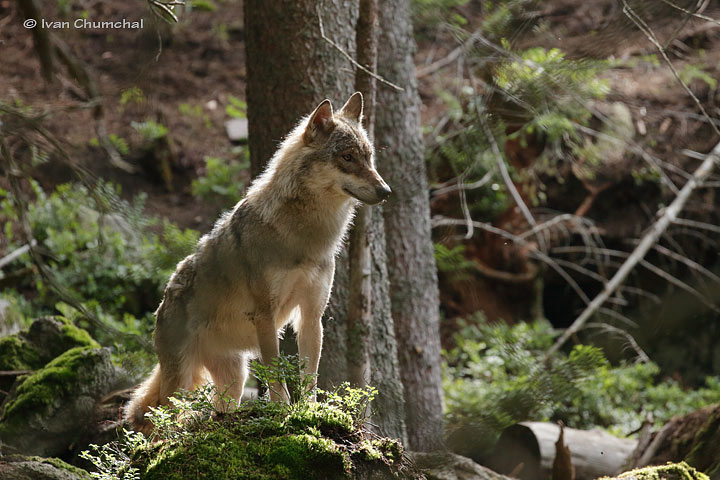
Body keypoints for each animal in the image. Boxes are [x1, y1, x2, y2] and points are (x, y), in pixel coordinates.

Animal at [125, 92, 394, 434]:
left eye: (368, 157)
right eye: (347, 157)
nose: (386, 191)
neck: (305, 235)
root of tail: (164, 299)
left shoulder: (311, 316)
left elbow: (310, 376)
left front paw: (309, 413)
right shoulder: (266, 317)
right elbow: (276, 375)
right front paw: (283, 413)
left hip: (233, 382)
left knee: (216, 411)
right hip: (181, 387)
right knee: (158, 426)